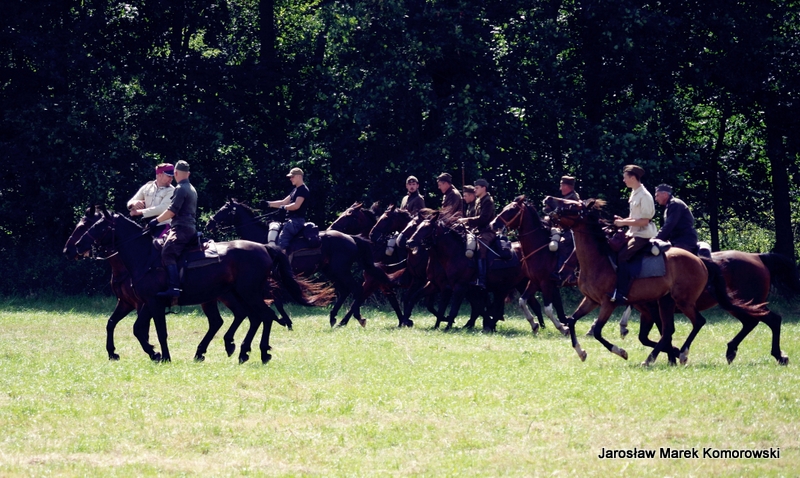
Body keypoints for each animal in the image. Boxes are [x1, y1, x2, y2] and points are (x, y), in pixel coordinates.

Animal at [73, 209, 328, 364]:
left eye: (97, 226)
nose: (76, 246)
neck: (145, 257)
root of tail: (264, 247)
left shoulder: (152, 302)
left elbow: (154, 330)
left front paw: (161, 355)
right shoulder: (140, 303)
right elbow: (124, 326)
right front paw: (143, 353)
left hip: (248, 293)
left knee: (264, 316)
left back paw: (259, 351)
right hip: (232, 295)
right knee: (247, 317)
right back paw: (235, 349)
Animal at [206, 199, 381, 327]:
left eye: (224, 210)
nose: (209, 224)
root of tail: (351, 238)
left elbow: (276, 301)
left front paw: (284, 321)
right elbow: (277, 301)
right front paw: (285, 321)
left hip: (340, 271)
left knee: (356, 289)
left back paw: (350, 319)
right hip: (331, 271)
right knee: (345, 291)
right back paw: (334, 318)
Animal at [490, 196, 570, 335]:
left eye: (511, 210)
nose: (493, 224)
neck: (540, 249)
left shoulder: (546, 283)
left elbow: (548, 309)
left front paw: (562, 328)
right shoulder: (534, 282)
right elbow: (522, 301)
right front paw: (534, 324)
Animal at [543, 196, 767, 365]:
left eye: (572, 205)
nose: (547, 203)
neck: (598, 259)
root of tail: (700, 261)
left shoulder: (609, 303)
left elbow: (598, 331)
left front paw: (621, 351)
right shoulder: (591, 301)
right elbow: (572, 321)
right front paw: (581, 352)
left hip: (683, 301)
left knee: (699, 322)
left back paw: (678, 354)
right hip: (670, 302)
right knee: (675, 329)